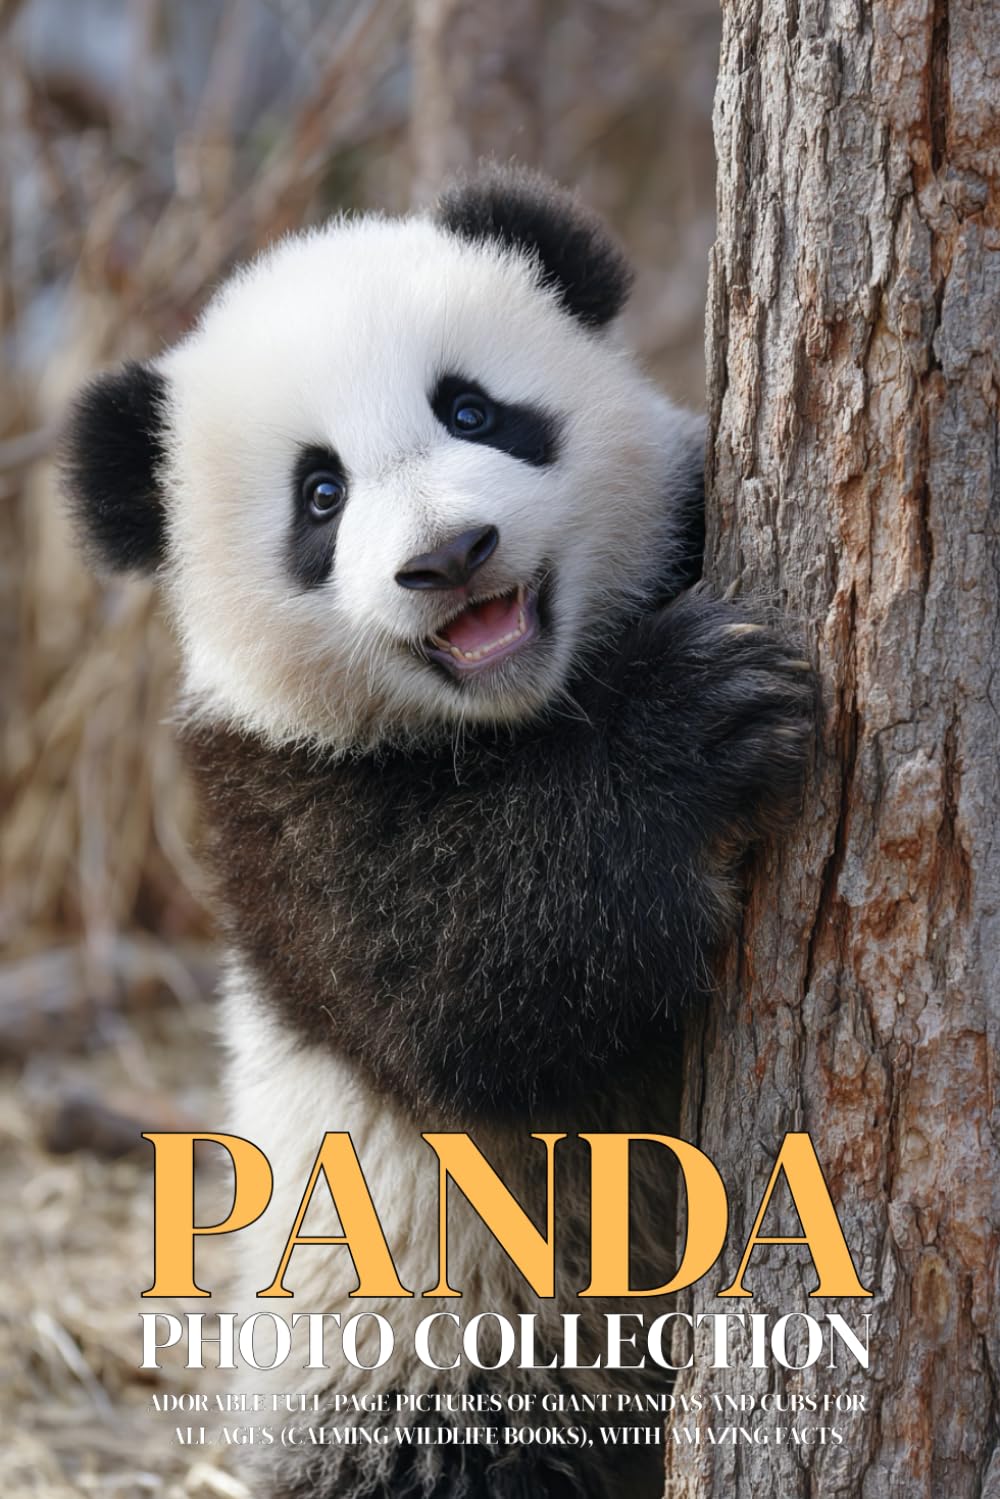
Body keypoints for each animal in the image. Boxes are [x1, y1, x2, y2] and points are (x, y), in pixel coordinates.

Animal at [62, 166, 815, 1499]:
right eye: (320, 494)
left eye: (473, 408)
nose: (451, 557)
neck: (525, 712)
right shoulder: (279, 803)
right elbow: (464, 982)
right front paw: (696, 721)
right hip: (441, 1352)